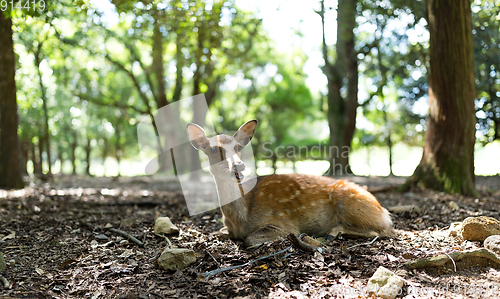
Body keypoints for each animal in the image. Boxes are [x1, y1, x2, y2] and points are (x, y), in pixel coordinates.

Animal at [186, 120, 396, 248]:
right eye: (214, 149)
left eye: (238, 147)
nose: (239, 165)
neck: (240, 220)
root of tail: (383, 211)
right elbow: (219, 232)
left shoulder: (283, 224)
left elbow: (249, 239)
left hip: (348, 200)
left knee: (387, 230)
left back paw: (332, 232)